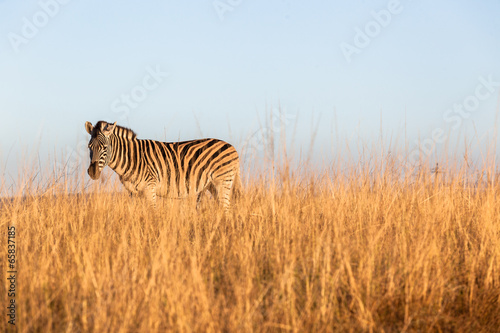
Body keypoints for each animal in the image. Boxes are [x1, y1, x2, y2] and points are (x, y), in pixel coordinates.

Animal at [85, 120, 241, 209]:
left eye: (105, 148)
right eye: (89, 147)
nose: (92, 173)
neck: (132, 158)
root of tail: (232, 147)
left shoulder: (150, 188)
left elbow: (152, 214)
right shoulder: (133, 192)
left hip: (222, 182)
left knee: (226, 210)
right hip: (212, 186)